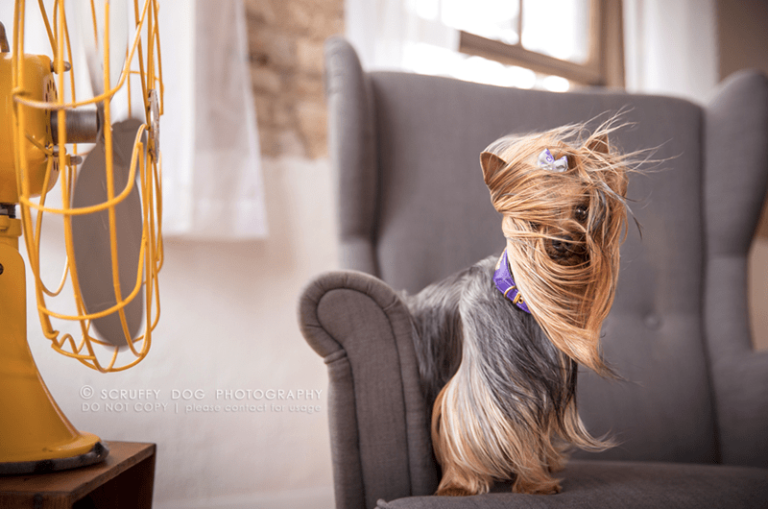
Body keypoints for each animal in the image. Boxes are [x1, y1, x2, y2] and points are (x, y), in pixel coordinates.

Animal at [404, 118, 632, 492]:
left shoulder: (535, 385)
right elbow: (469, 418)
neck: (521, 301)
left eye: (582, 209)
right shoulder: (490, 381)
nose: (561, 241)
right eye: (533, 213)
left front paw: (535, 481)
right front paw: (459, 485)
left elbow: (527, 434)